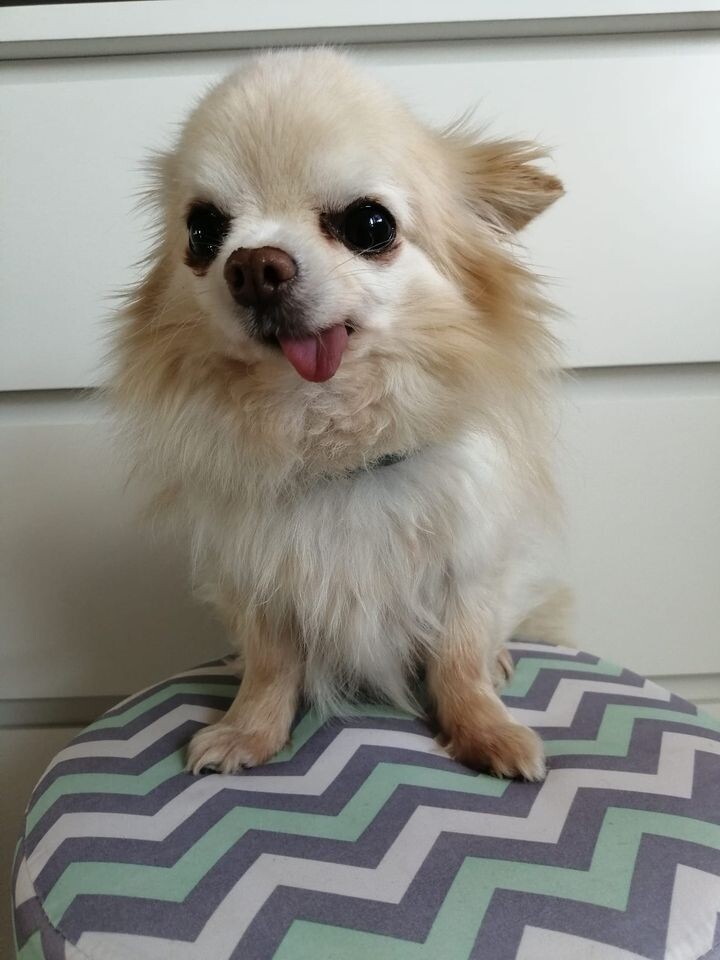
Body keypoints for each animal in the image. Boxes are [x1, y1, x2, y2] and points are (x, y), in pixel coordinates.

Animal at [111, 48, 566, 781]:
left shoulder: (468, 565)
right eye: (203, 232)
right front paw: (248, 730)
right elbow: (270, 664)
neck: (332, 441)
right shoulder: (257, 578)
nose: (253, 267)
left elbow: (459, 657)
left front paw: (485, 729)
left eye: (370, 225)